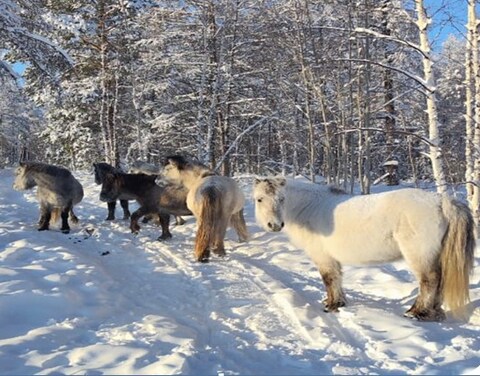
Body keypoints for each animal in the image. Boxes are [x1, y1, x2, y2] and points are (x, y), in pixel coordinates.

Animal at [253, 176, 474, 320]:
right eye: (260, 199)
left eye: (282, 199)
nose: (274, 225)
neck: (309, 208)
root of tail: (442, 201)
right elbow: (337, 280)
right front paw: (336, 302)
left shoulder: (323, 257)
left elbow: (329, 279)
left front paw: (332, 306)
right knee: (440, 282)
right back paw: (434, 311)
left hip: (420, 255)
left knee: (430, 281)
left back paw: (416, 312)